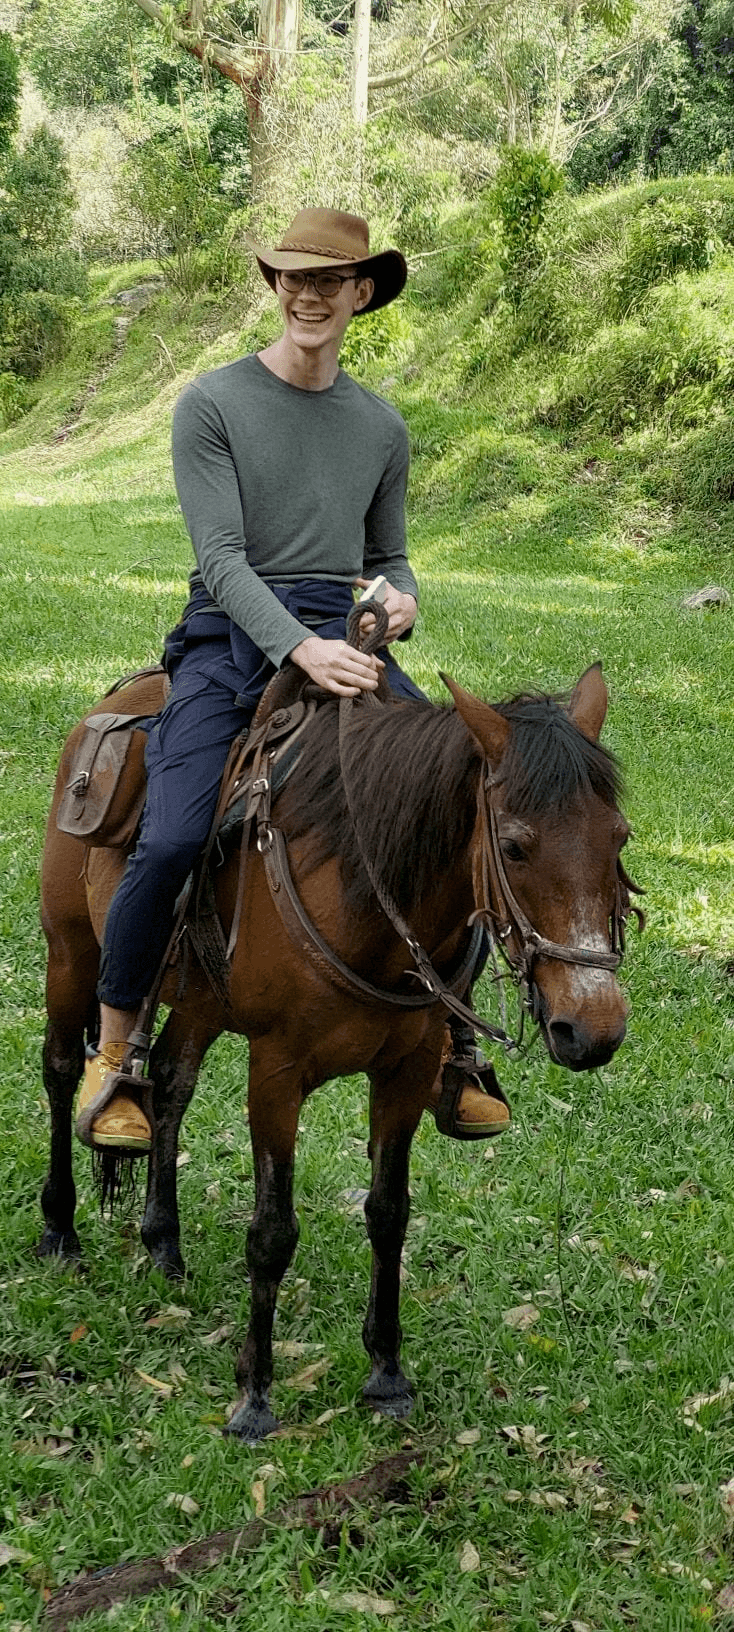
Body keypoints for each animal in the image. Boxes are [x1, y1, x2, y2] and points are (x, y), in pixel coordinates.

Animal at [38, 656, 642, 1436]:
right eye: (513, 845)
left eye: (618, 838)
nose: (592, 1029)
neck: (362, 892)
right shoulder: (276, 1073)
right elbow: (272, 1231)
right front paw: (255, 1395)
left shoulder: (406, 1073)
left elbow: (389, 1214)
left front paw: (386, 1374)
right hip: (70, 954)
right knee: (61, 1072)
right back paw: (60, 1229)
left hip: (200, 1003)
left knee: (170, 1083)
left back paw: (164, 1242)